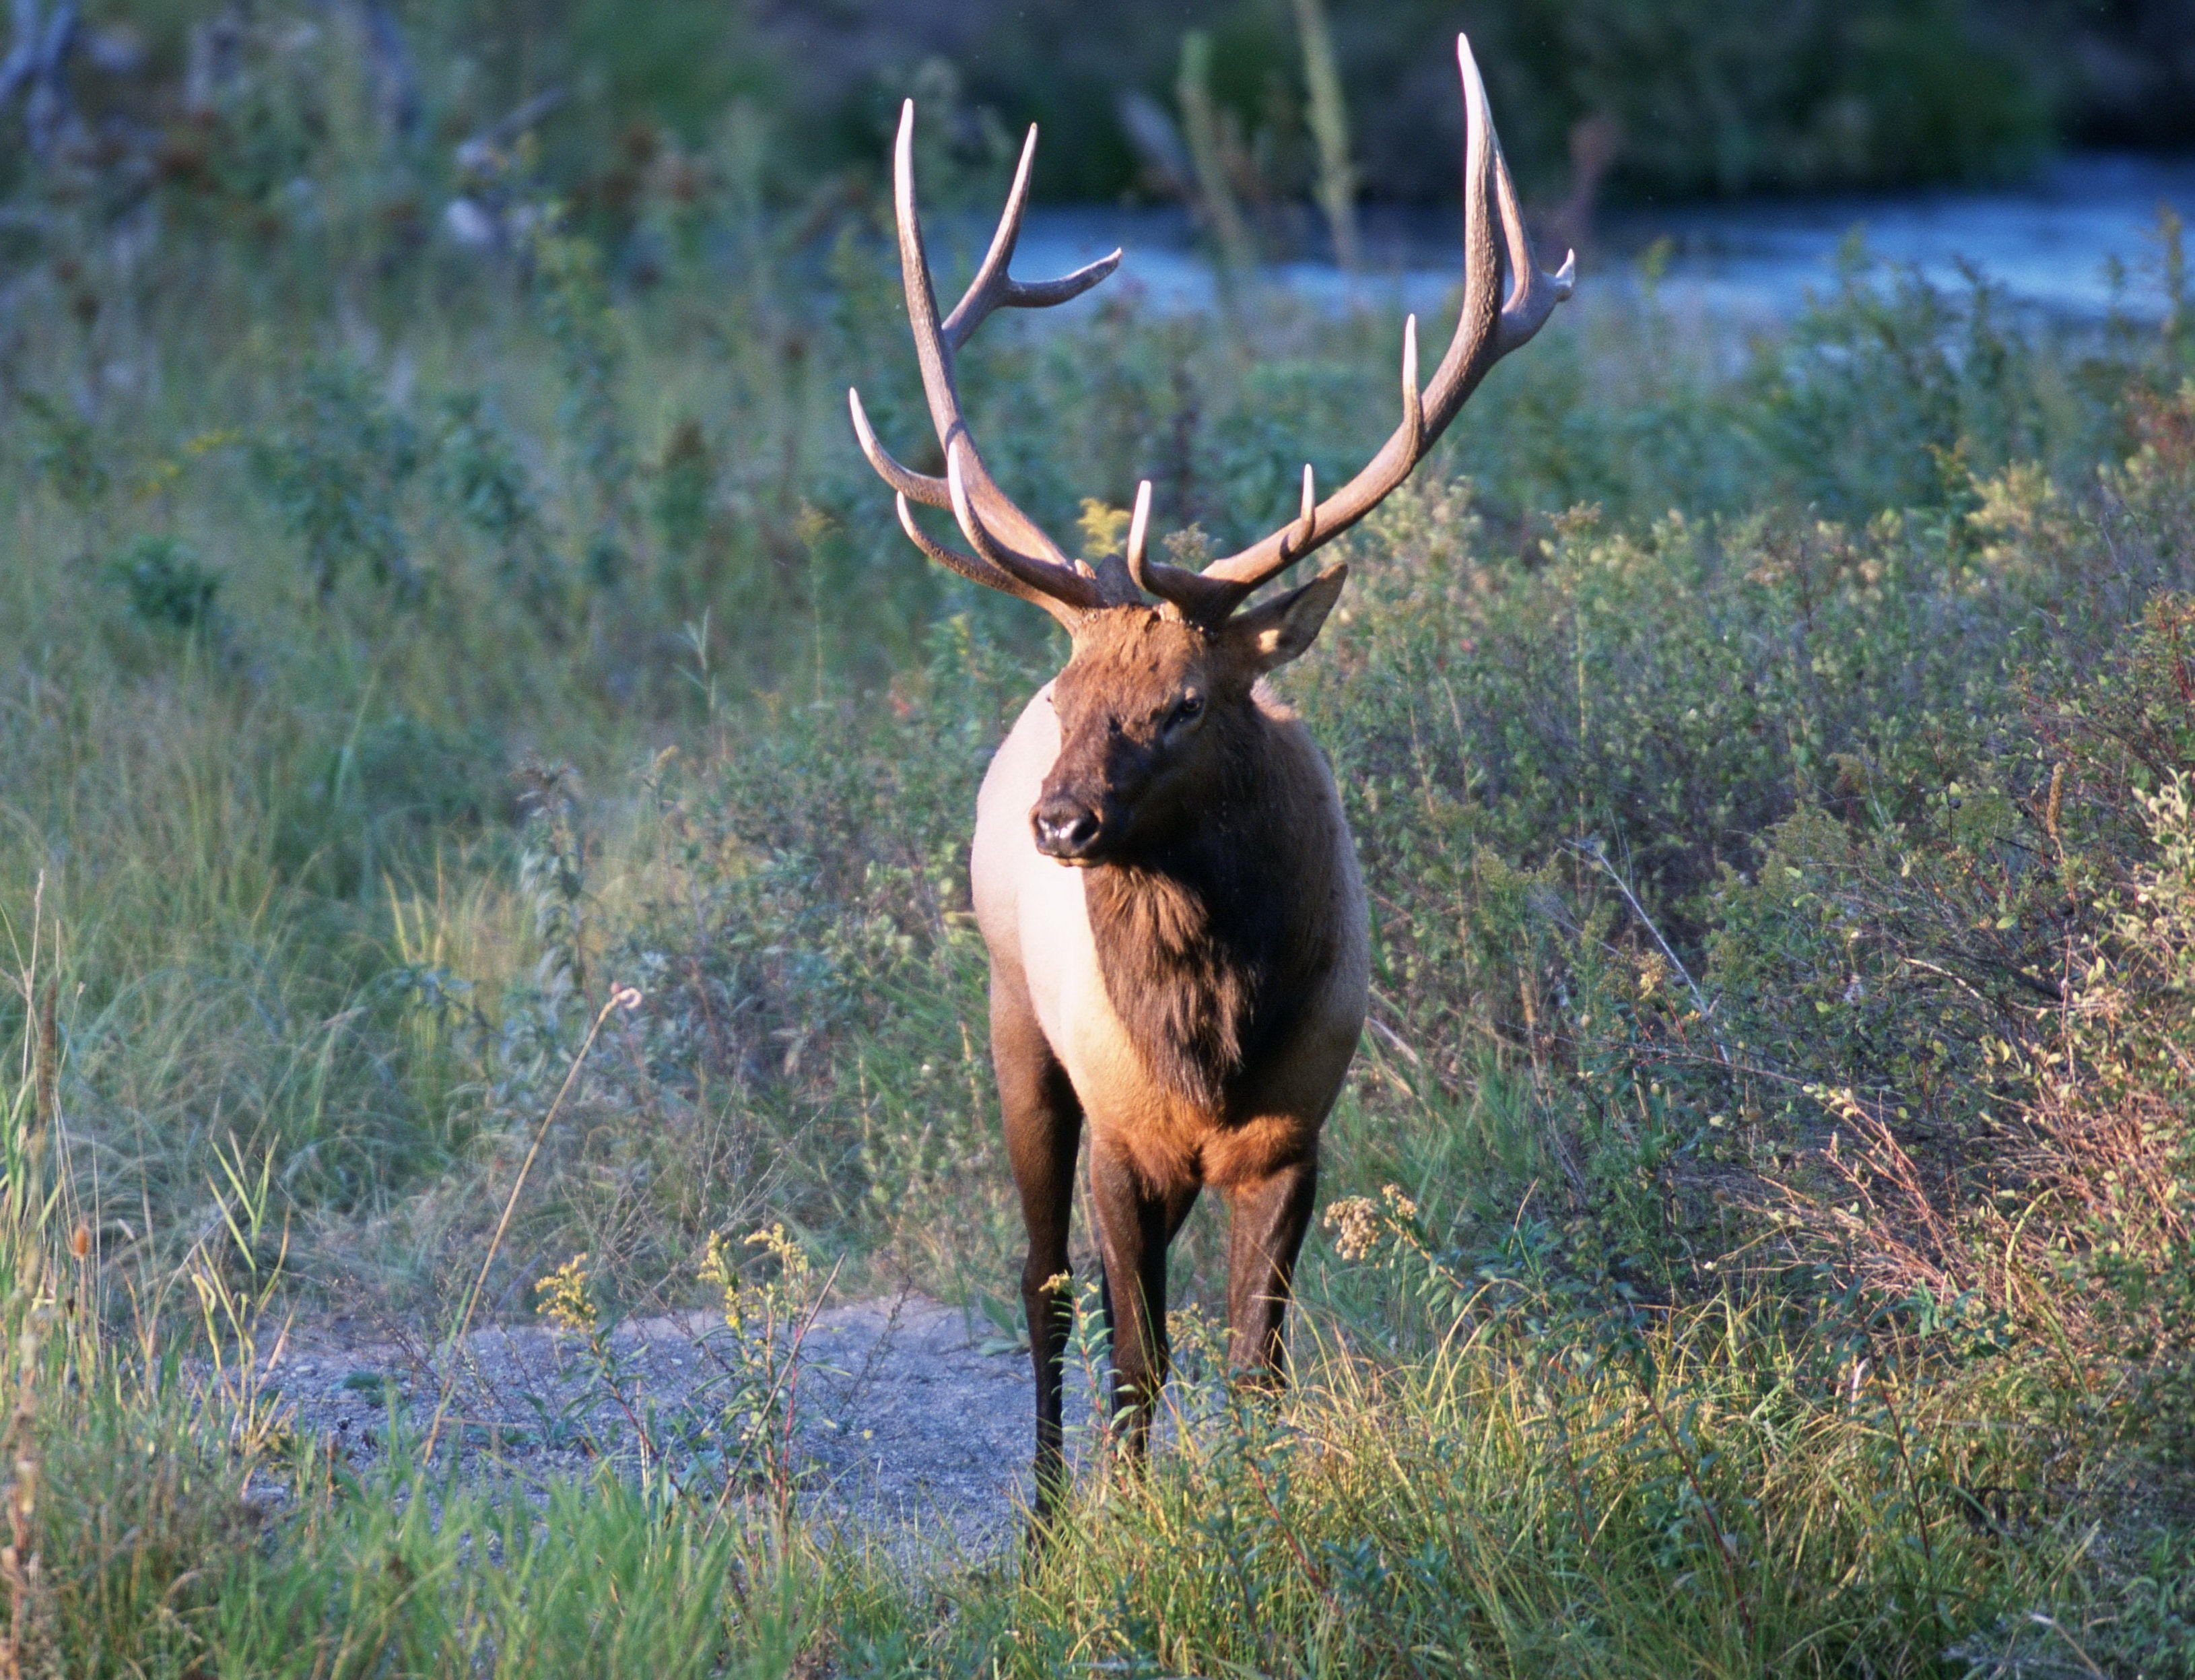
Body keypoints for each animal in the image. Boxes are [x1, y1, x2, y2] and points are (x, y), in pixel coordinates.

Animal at [842, 36, 1580, 1510]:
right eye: (1068, 695)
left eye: (1185, 703)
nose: (1060, 818)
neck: (1211, 1037)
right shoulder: (1126, 1134)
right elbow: (1137, 1355)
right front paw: (1125, 1526)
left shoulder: (1295, 1130)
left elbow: (1256, 1364)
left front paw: (1256, 1512)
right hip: (1011, 1016)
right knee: (1041, 1283)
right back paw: (1045, 1512)